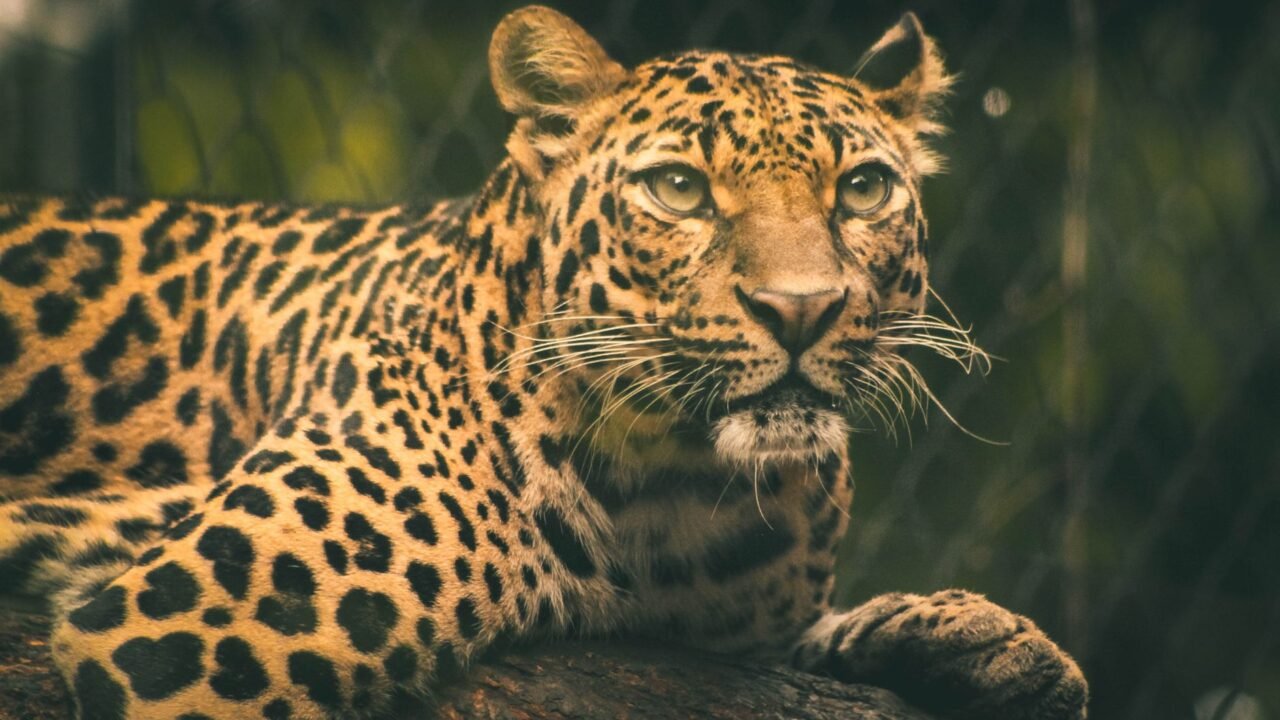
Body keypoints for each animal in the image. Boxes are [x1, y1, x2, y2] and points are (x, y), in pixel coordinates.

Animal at [0, 6, 1088, 719]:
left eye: (862, 189)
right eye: (679, 190)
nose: (801, 310)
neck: (678, 497)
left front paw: (975, 637)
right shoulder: (191, 633)